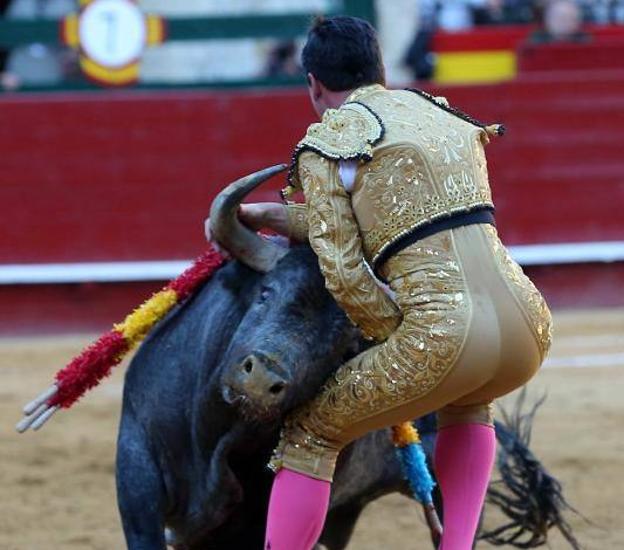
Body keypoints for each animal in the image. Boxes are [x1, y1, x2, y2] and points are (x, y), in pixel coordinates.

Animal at [116, 166, 580, 548]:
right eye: (265, 294)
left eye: (346, 347)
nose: (260, 381)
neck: (218, 432)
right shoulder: (137, 468)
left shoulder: (249, 520)